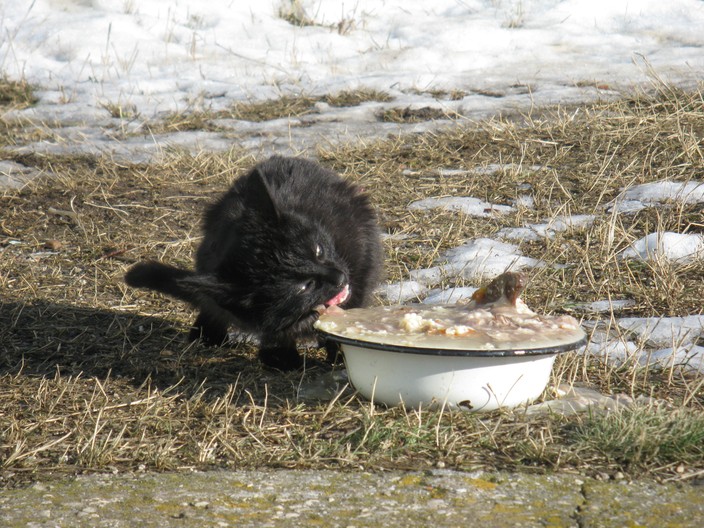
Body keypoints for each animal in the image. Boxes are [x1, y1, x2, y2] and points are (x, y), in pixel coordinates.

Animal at [124, 157, 382, 370]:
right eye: (304, 286)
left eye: (318, 250)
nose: (339, 277)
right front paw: (280, 357)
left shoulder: (359, 256)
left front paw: (340, 352)